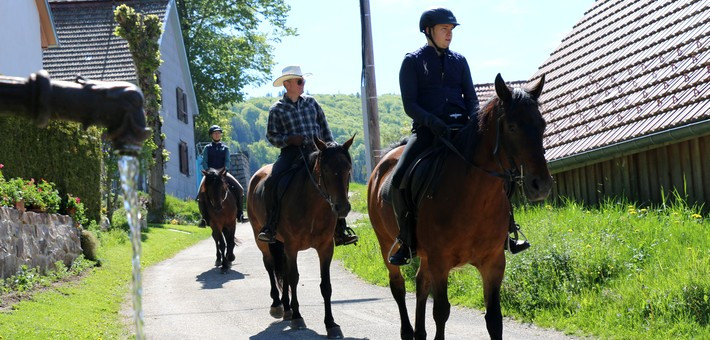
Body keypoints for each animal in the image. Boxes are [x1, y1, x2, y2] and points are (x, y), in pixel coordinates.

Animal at [248, 135, 356, 338]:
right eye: (326, 169)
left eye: (348, 168)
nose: (342, 208)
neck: (313, 205)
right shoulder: (292, 246)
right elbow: (294, 278)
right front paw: (298, 318)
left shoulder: (325, 248)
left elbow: (325, 285)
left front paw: (331, 324)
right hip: (262, 239)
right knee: (270, 266)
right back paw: (278, 306)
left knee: (282, 270)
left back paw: (287, 308)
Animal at [370, 74, 552, 340]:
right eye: (512, 127)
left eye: (542, 125)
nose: (542, 185)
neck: (474, 199)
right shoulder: (440, 261)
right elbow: (441, 312)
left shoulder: (493, 262)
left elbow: (494, 319)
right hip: (387, 246)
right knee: (399, 287)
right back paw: (408, 331)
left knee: (421, 283)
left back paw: (420, 333)